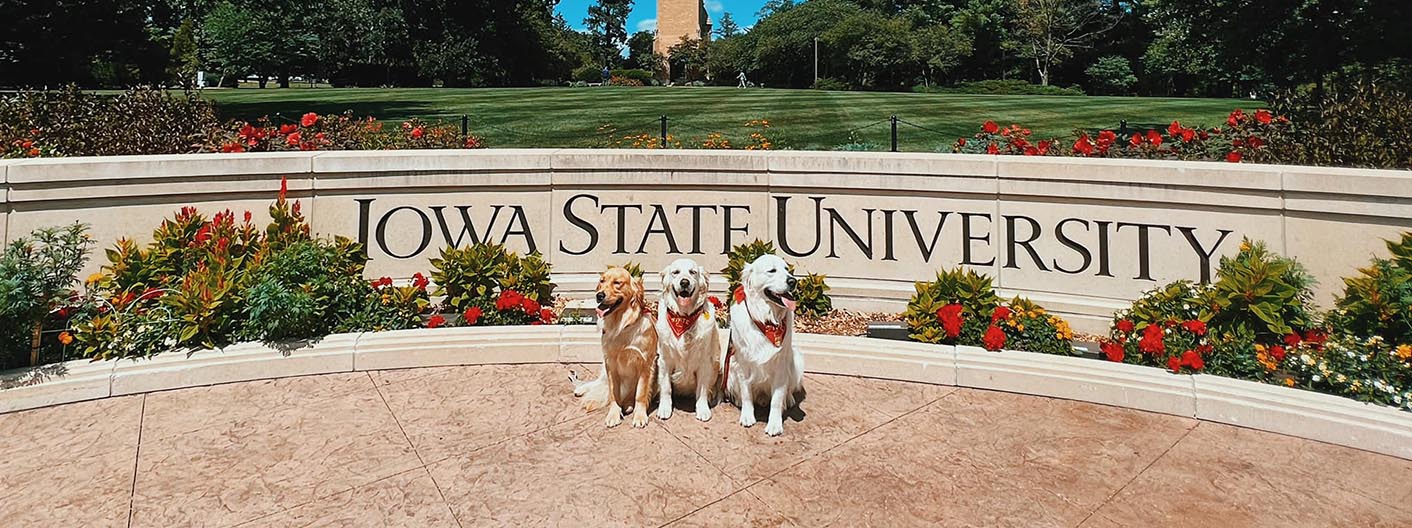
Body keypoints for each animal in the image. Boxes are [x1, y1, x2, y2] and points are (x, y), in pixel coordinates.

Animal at [578, 268, 655, 429]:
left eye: (617, 283)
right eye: (602, 281)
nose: (599, 295)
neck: (621, 326)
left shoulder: (645, 364)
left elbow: (641, 394)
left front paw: (639, 416)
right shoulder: (611, 364)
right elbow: (614, 393)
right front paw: (613, 414)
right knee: (599, 382)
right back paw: (581, 388)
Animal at [649, 258, 717, 423]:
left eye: (692, 272)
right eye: (676, 272)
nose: (685, 282)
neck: (683, 318)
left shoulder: (705, 361)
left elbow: (702, 389)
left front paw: (703, 409)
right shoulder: (665, 360)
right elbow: (666, 387)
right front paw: (665, 408)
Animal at [728, 254, 807, 434]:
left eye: (787, 269)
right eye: (772, 270)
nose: (793, 281)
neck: (766, 320)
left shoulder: (781, 365)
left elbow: (777, 399)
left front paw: (774, 424)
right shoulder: (743, 363)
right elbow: (746, 393)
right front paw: (747, 416)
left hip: (796, 359)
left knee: (789, 388)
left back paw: (789, 399)